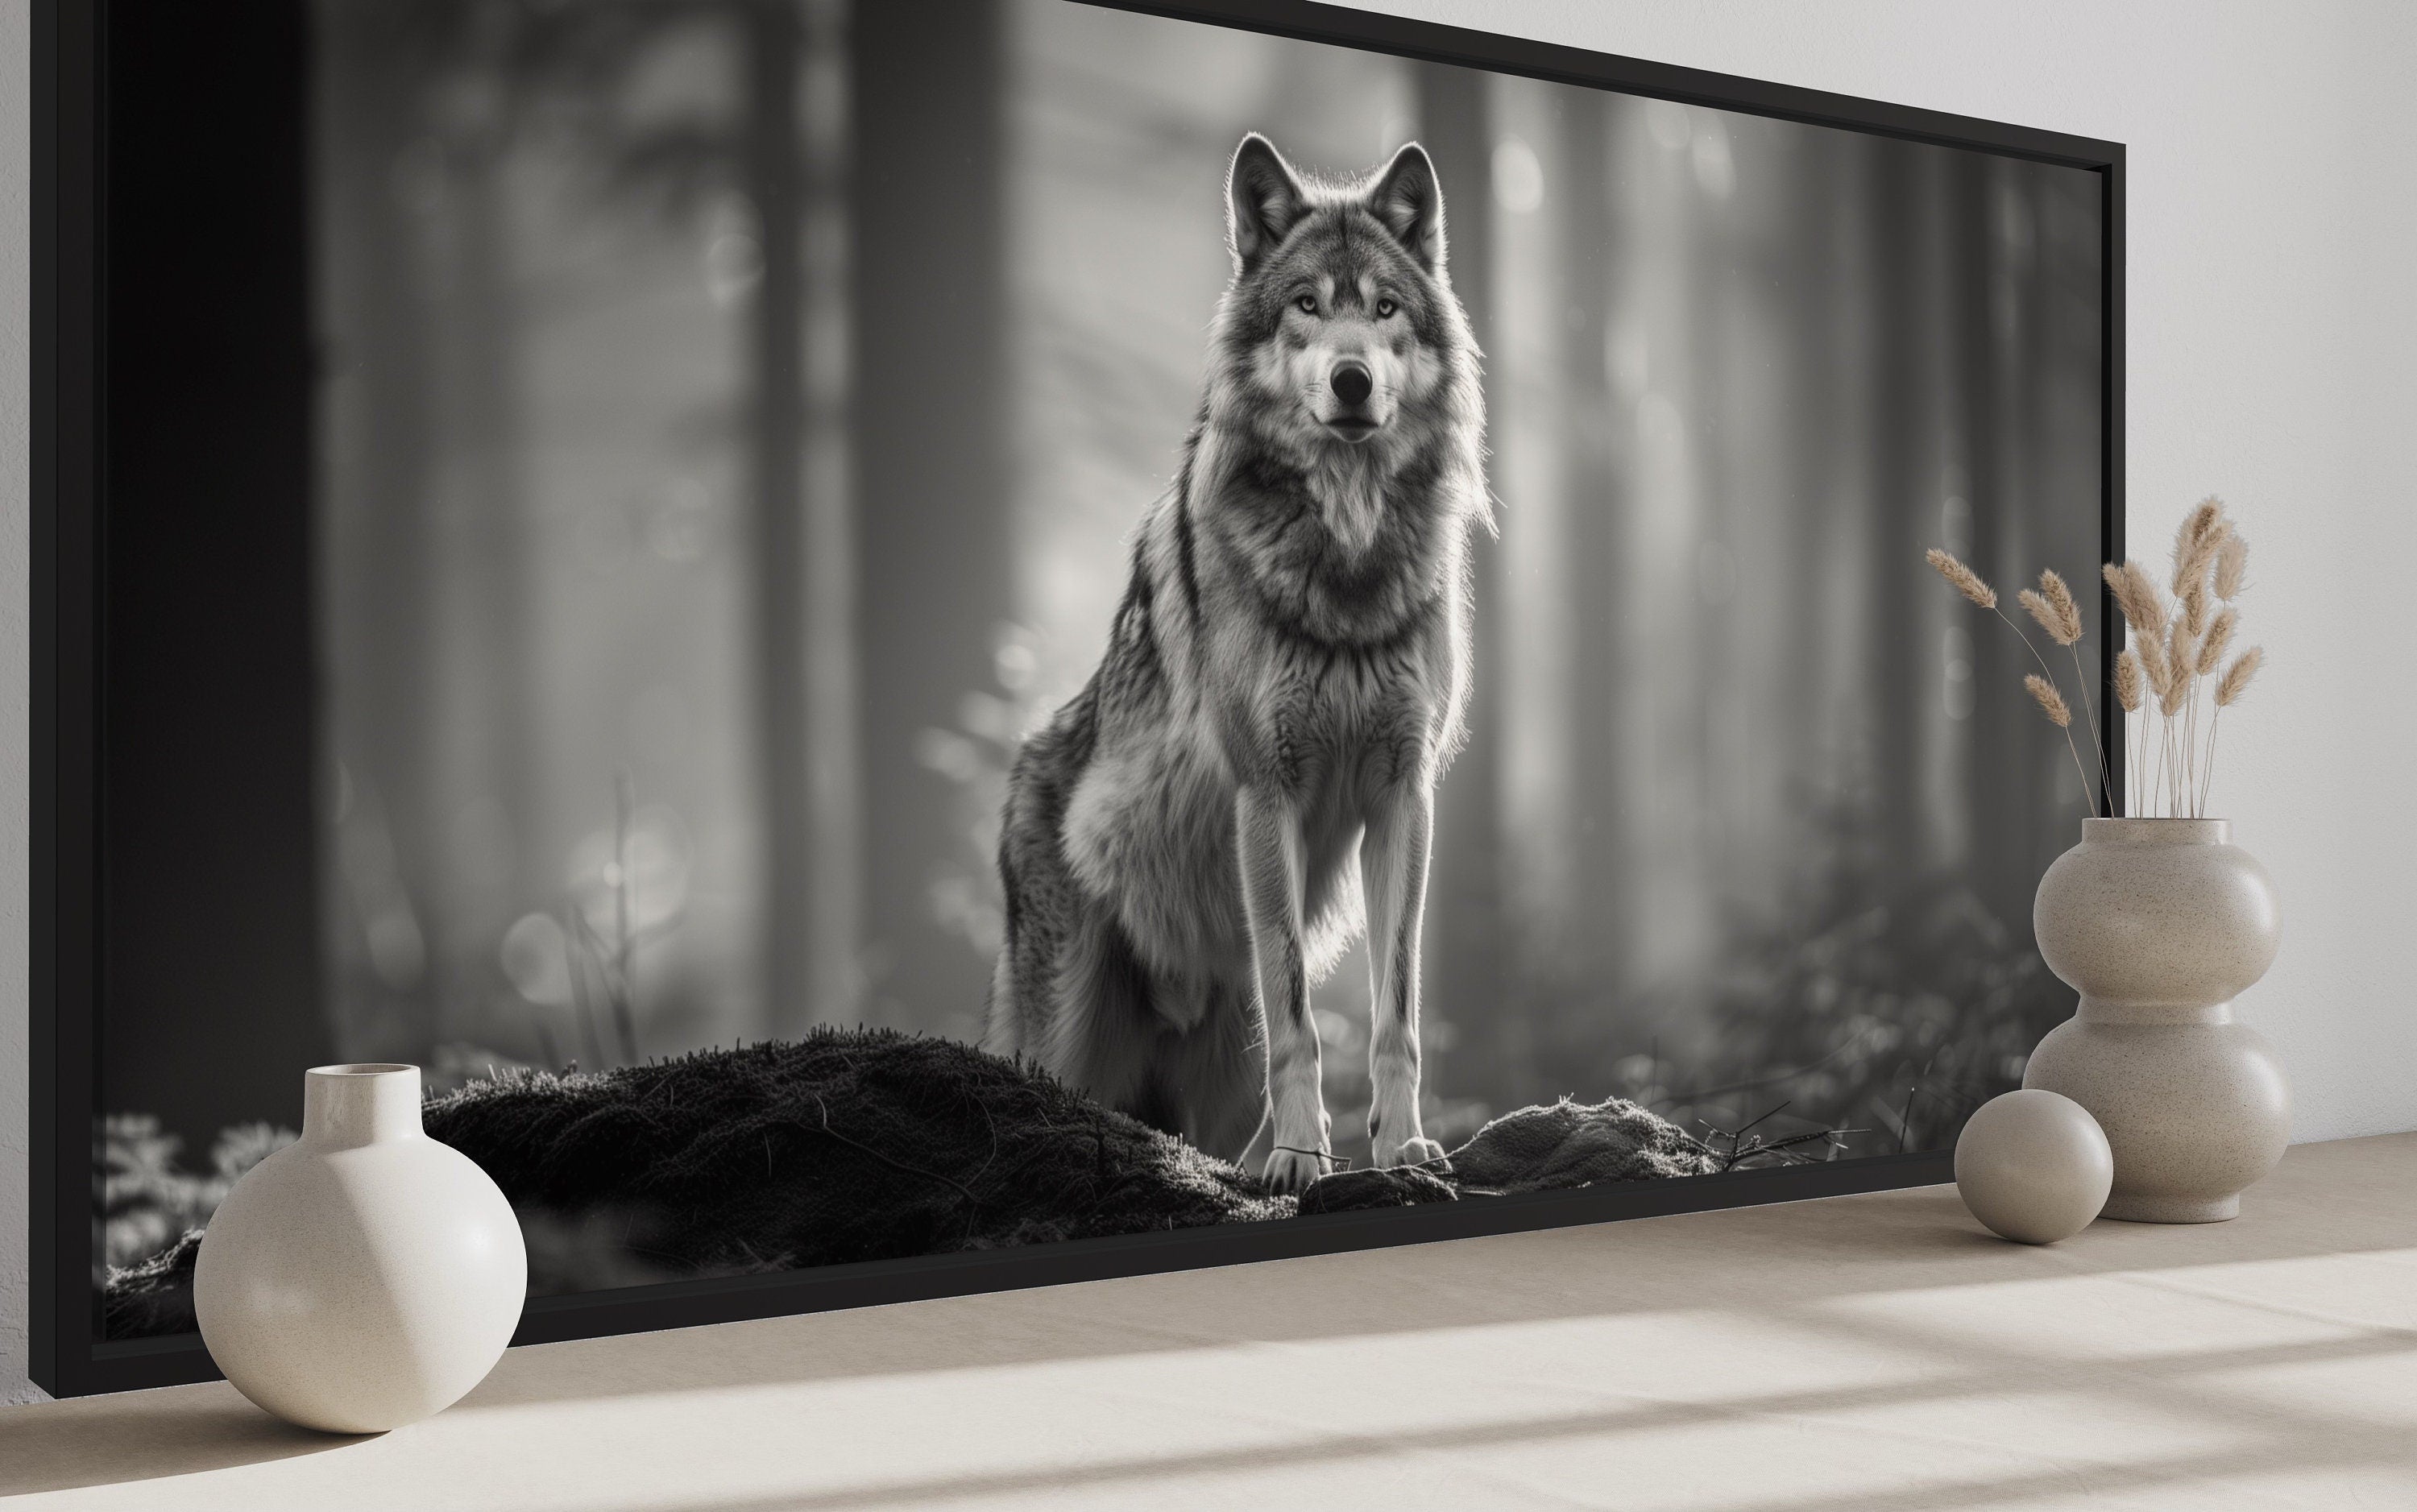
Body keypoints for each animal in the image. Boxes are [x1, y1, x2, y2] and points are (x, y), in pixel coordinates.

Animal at [984, 133, 1487, 1194]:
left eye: (1386, 308)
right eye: (1306, 303)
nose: (1351, 380)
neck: (1344, 557)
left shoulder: (1404, 797)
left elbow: (1397, 1009)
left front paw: (1402, 1146)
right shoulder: (1268, 795)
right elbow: (1299, 1007)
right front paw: (1302, 1157)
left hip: (1215, 1051)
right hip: (1065, 1031)